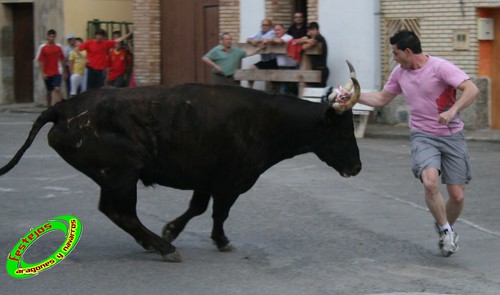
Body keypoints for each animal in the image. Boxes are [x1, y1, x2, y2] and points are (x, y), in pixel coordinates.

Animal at [0, 82, 362, 262]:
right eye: (345, 132)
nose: (357, 167)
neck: (266, 121)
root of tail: (65, 107)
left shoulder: (207, 179)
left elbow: (199, 208)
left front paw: (173, 229)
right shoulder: (230, 182)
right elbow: (218, 212)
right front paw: (217, 240)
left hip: (114, 177)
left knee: (113, 211)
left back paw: (155, 242)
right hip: (122, 174)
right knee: (121, 212)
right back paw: (163, 248)